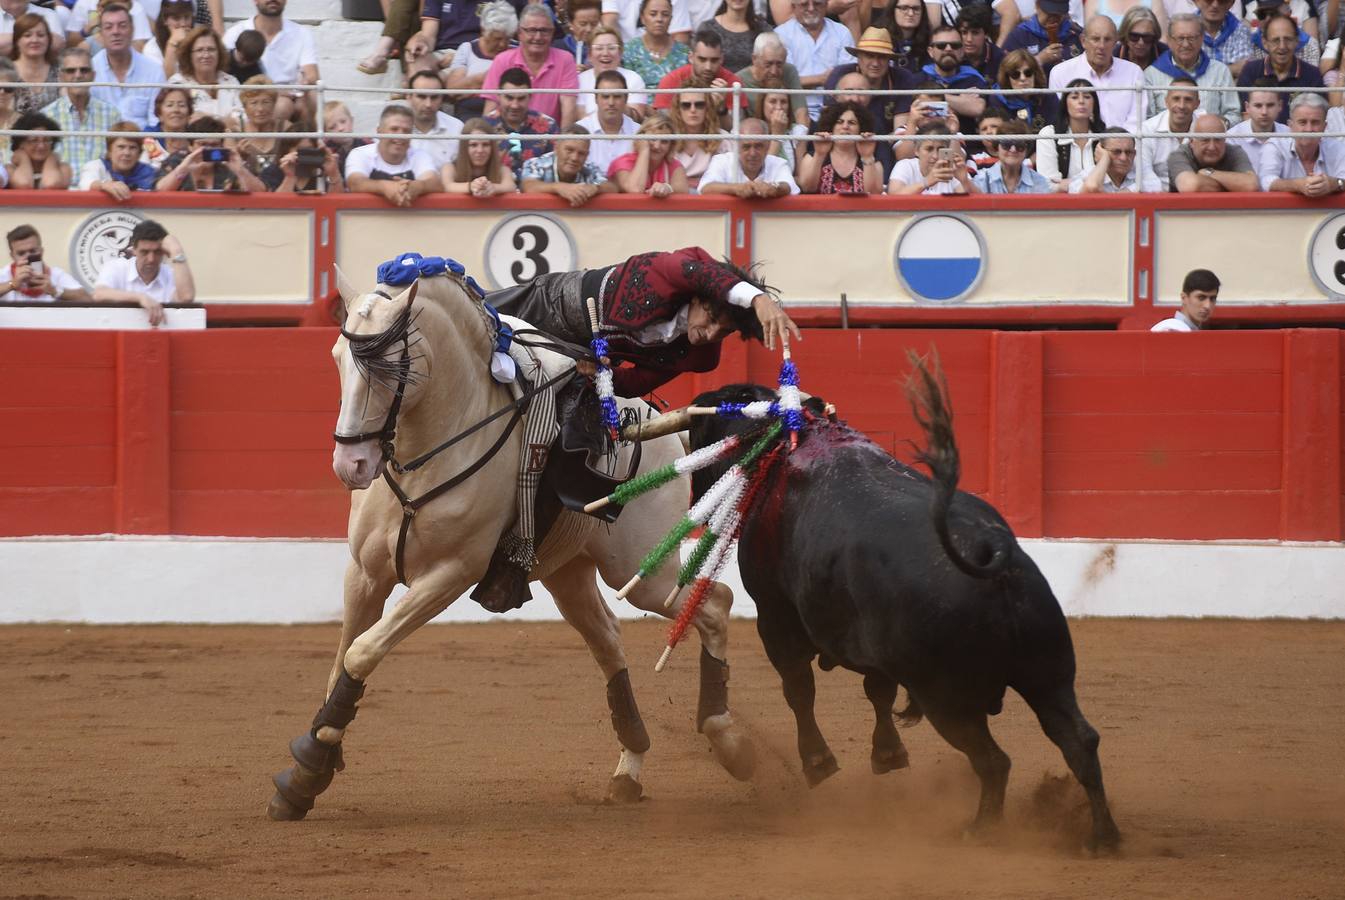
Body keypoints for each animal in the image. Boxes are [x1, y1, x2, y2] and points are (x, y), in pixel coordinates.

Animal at [266, 269, 753, 823]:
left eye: (394, 364)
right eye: (338, 357)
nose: (351, 466)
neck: (424, 453)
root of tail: (665, 432)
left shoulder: (450, 574)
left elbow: (363, 651)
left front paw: (310, 760)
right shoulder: (364, 572)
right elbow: (341, 658)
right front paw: (312, 769)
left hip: (642, 570)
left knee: (713, 604)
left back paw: (727, 740)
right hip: (569, 573)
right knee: (609, 638)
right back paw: (628, 769)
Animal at [688, 363, 1119, 850]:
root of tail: (992, 555)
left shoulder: (776, 616)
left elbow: (800, 690)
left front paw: (819, 762)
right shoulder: (874, 645)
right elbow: (879, 691)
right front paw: (888, 753)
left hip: (947, 699)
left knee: (994, 760)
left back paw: (981, 828)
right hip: (1049, 674)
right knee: (1079, 741)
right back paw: (1101, 836)